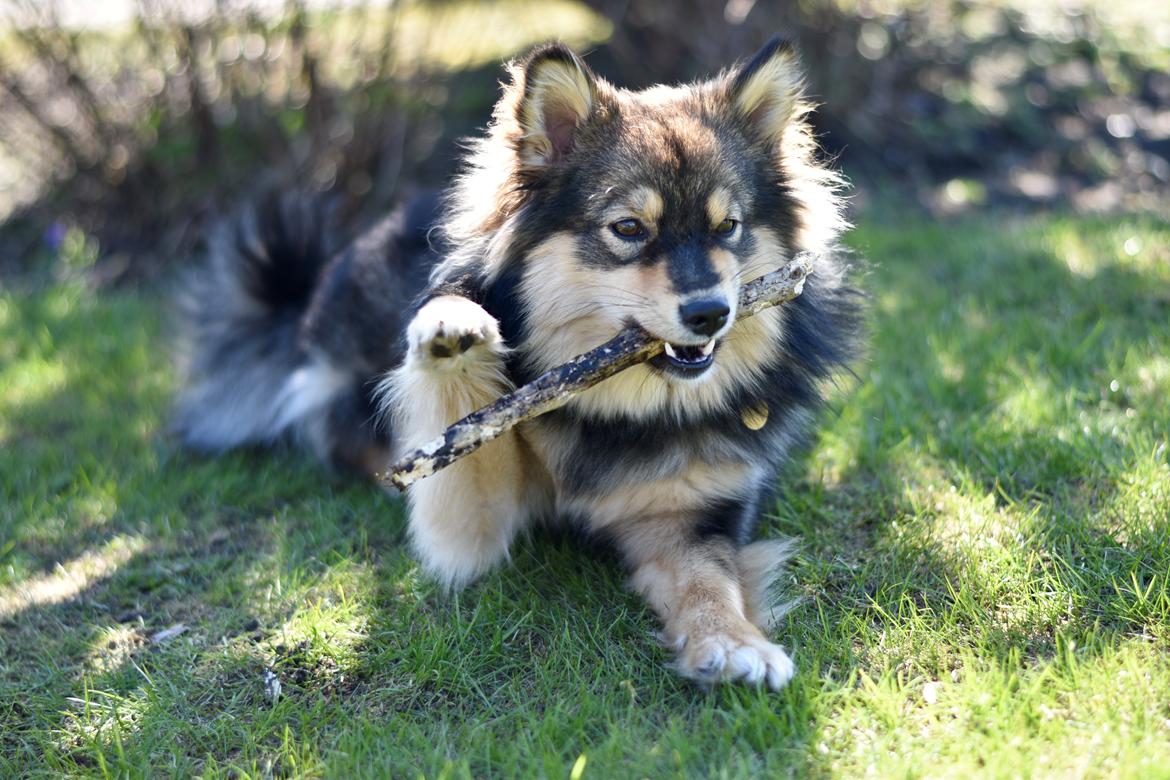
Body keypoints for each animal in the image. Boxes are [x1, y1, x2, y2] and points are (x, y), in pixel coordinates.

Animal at [177, 38, 865, 687]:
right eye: (628, 228)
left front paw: (732, 643)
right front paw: (451, 330)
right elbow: (464, 433)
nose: (709, 313)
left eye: (728, 227)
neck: (618, 407)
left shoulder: (695, 515)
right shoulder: (469, 524)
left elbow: (709, 582)